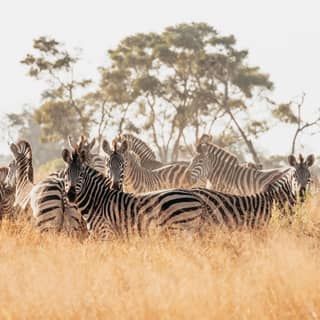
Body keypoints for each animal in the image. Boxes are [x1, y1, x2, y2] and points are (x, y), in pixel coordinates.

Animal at [62, 148, 208, 240]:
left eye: (81, 174)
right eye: (65, 174)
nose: (71, 195)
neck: (98, 202)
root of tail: (196, 197)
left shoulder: (106, 233)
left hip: (179, 230)